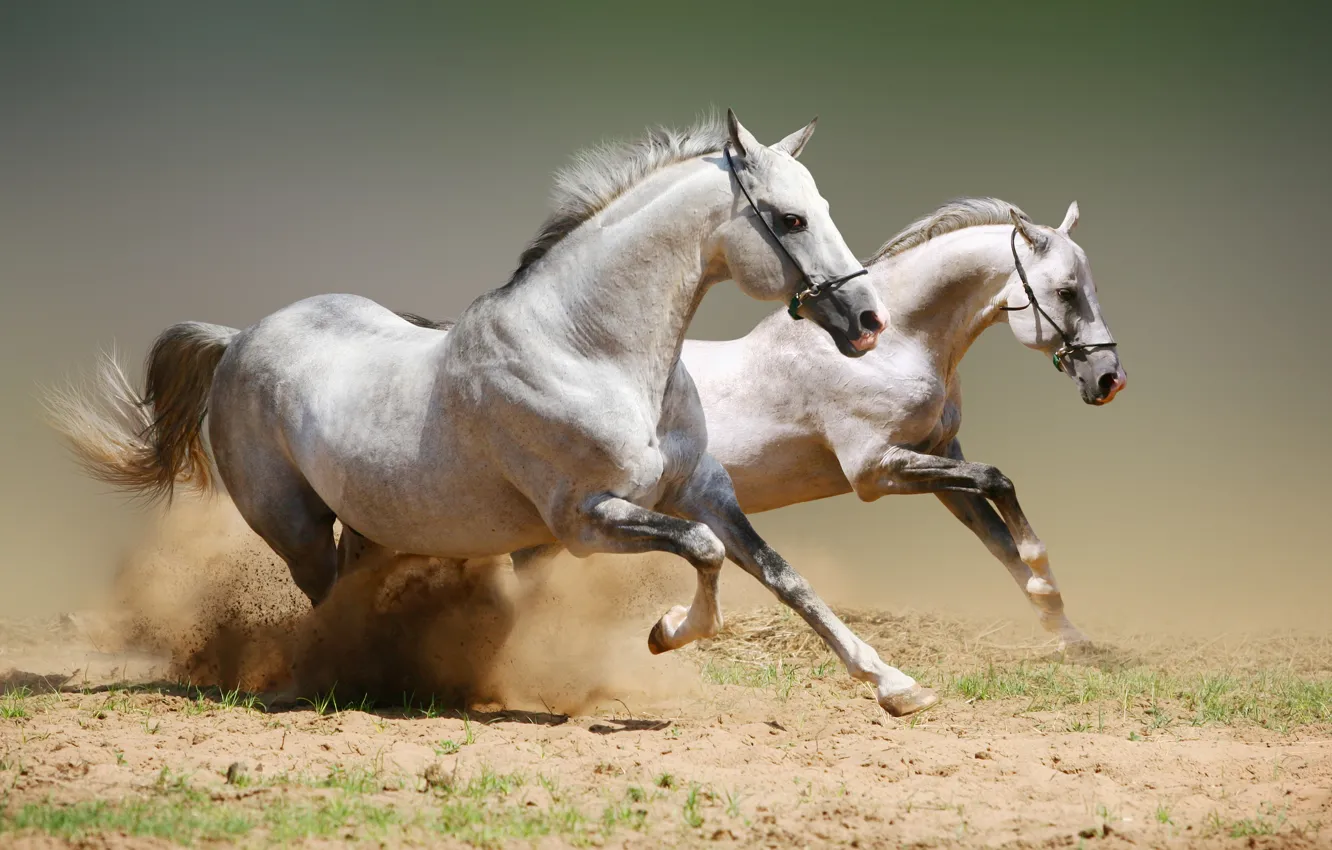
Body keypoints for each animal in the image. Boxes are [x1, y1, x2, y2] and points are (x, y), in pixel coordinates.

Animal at [50, 111, 942, 717]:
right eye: (790, 218)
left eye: (820, 206)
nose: (867, 321)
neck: (591, 350)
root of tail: (238, 339)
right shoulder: (585, 521)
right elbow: (704, 554)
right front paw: (664, 632)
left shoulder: (703, 490)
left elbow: (782, 576)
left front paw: (896, 685)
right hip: (293, 525)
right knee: (324, 602)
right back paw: (336, 679)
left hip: (372, 524)